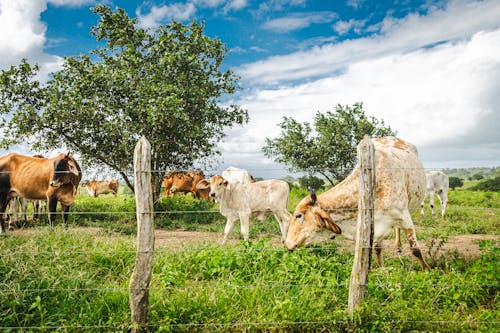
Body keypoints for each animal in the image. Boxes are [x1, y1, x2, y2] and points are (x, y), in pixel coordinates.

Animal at [286, 137, 430, 270]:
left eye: (298, 215)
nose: (287, 243)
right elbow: (378, 249)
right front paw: (382, 269)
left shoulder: (404, 217)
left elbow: (415, 250)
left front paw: (427, 270)